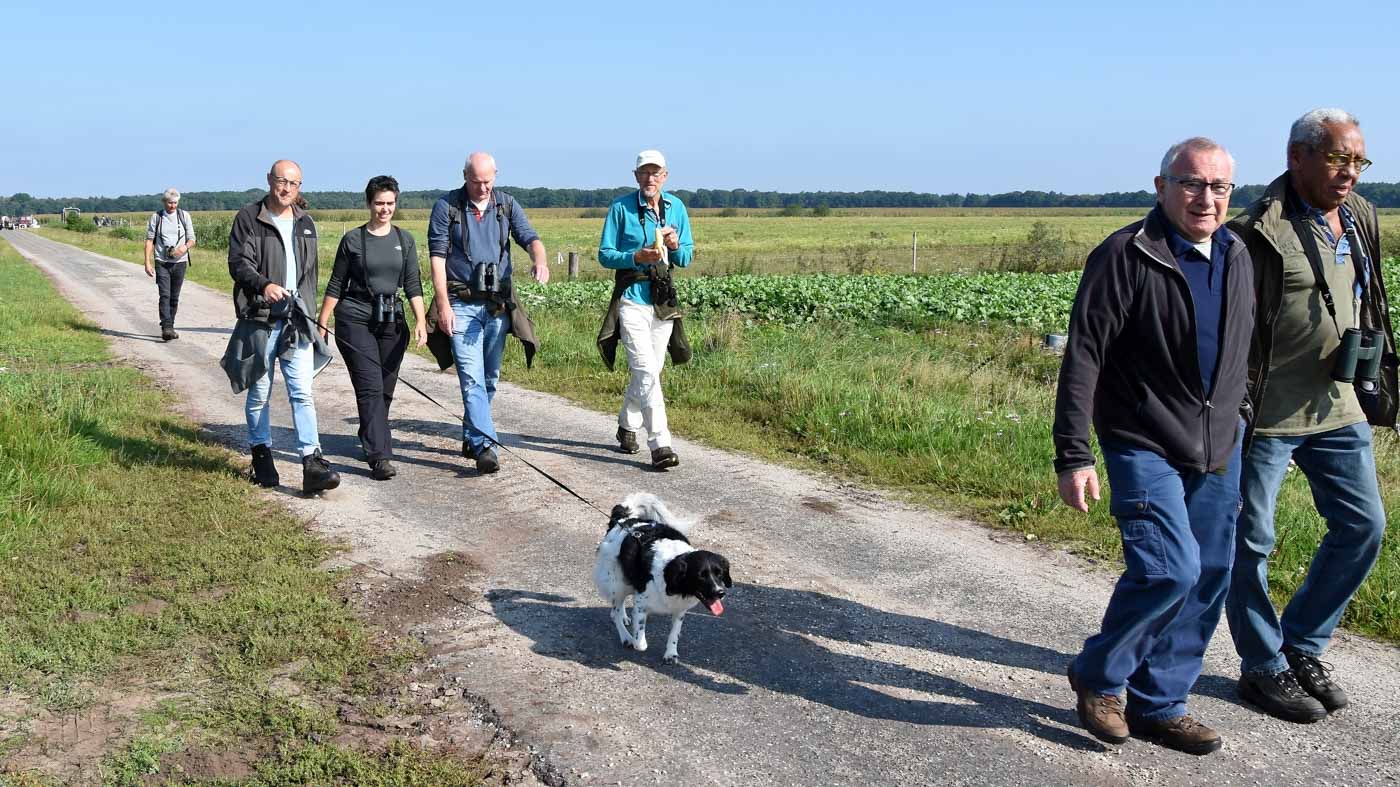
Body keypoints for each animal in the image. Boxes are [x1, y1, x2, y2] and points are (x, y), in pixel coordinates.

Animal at [593, 490, 739, 660]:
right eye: (700, 576)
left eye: (719, 574)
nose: (720, 593)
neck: (670, 572)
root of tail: (624, 519)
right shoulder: (641, 601)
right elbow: (640, 641)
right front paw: (637, 640)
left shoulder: (679, 609)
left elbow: (674, 633)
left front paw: (671, 653)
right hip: (618, 581)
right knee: (616, 607)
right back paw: (625, 636)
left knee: (617, 606)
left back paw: (623, 617)